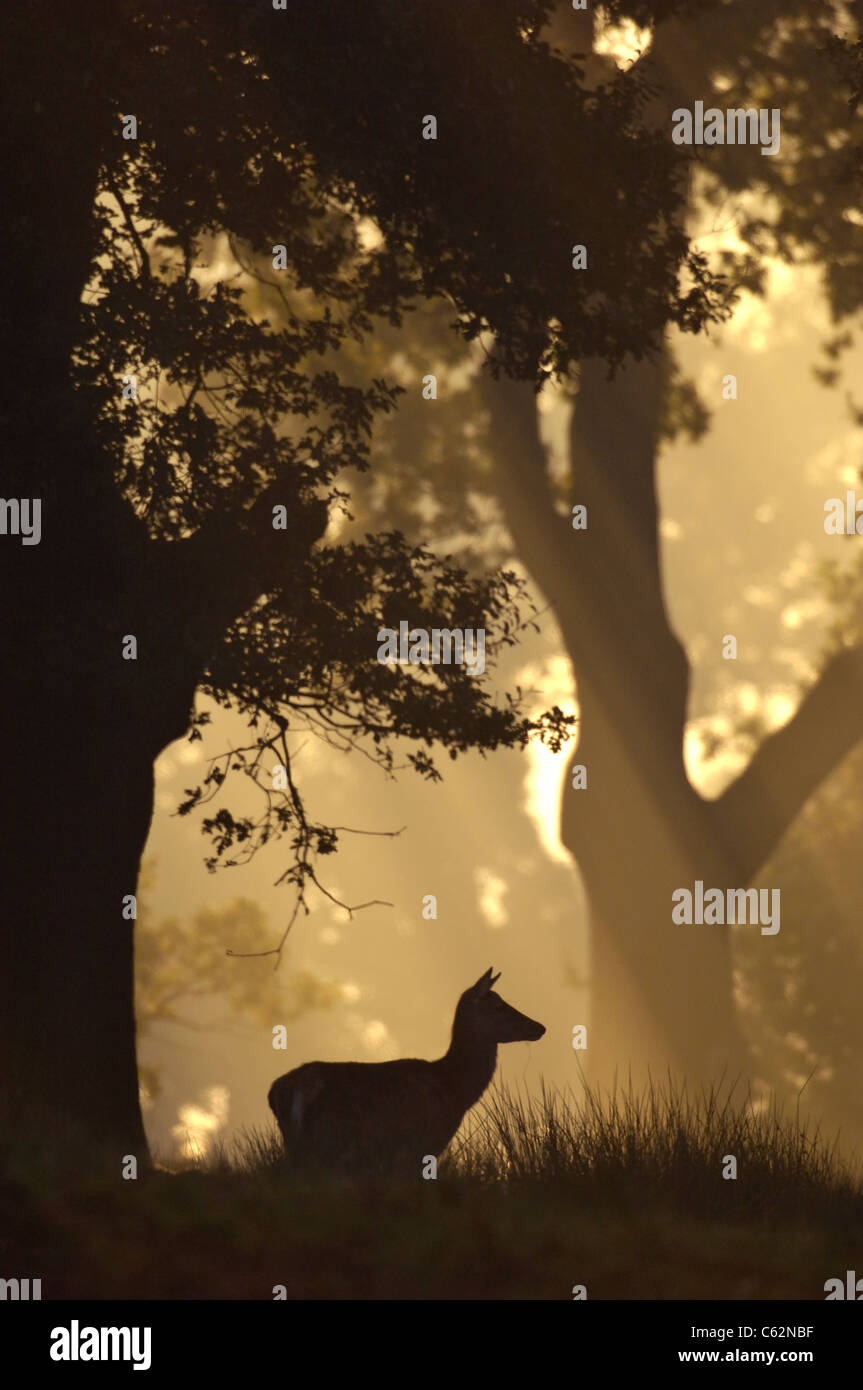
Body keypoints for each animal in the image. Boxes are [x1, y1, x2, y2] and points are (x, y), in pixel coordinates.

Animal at [265, 967, 541, 1184]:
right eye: (499, 1006)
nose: (539, 1026)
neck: (455, 1089)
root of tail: (281, 1090)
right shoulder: (422, 1144)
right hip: (326, 1139)